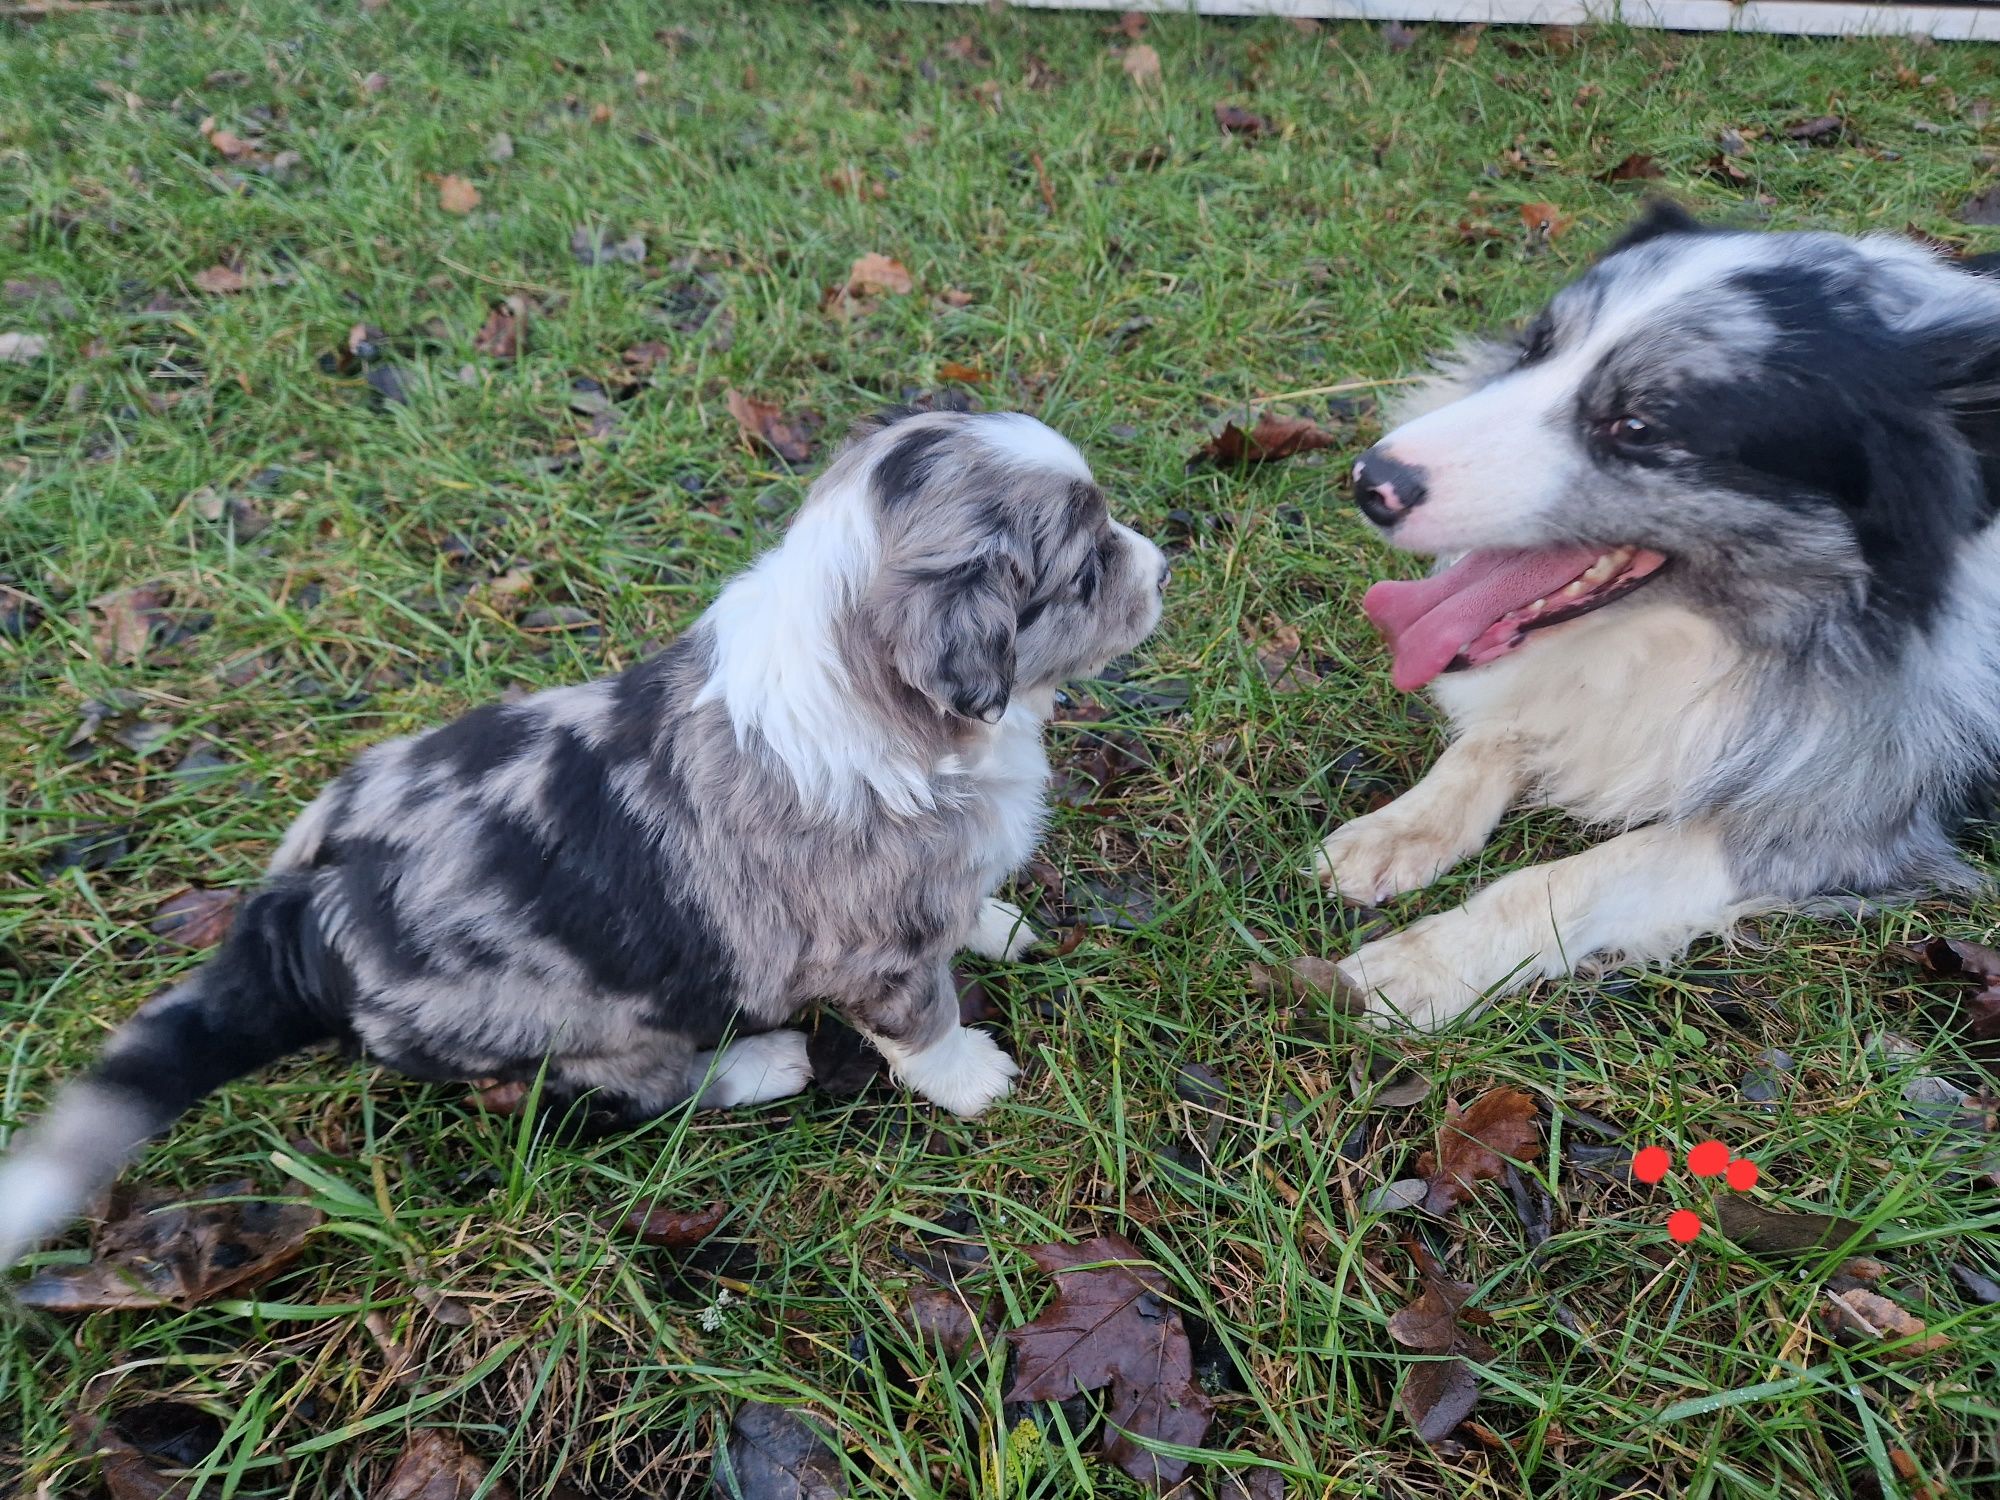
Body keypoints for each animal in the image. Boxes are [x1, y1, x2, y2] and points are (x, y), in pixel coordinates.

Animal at [0, 408, 1168, 1272]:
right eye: (1084, 571)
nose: (1161, 566)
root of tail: (299, 924)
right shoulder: (871, 945)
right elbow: (919, 1021)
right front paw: (976, 1077)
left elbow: (963, 905)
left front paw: (994, 922)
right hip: (576, 1024)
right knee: (628, 1092)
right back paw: (760, 1063)